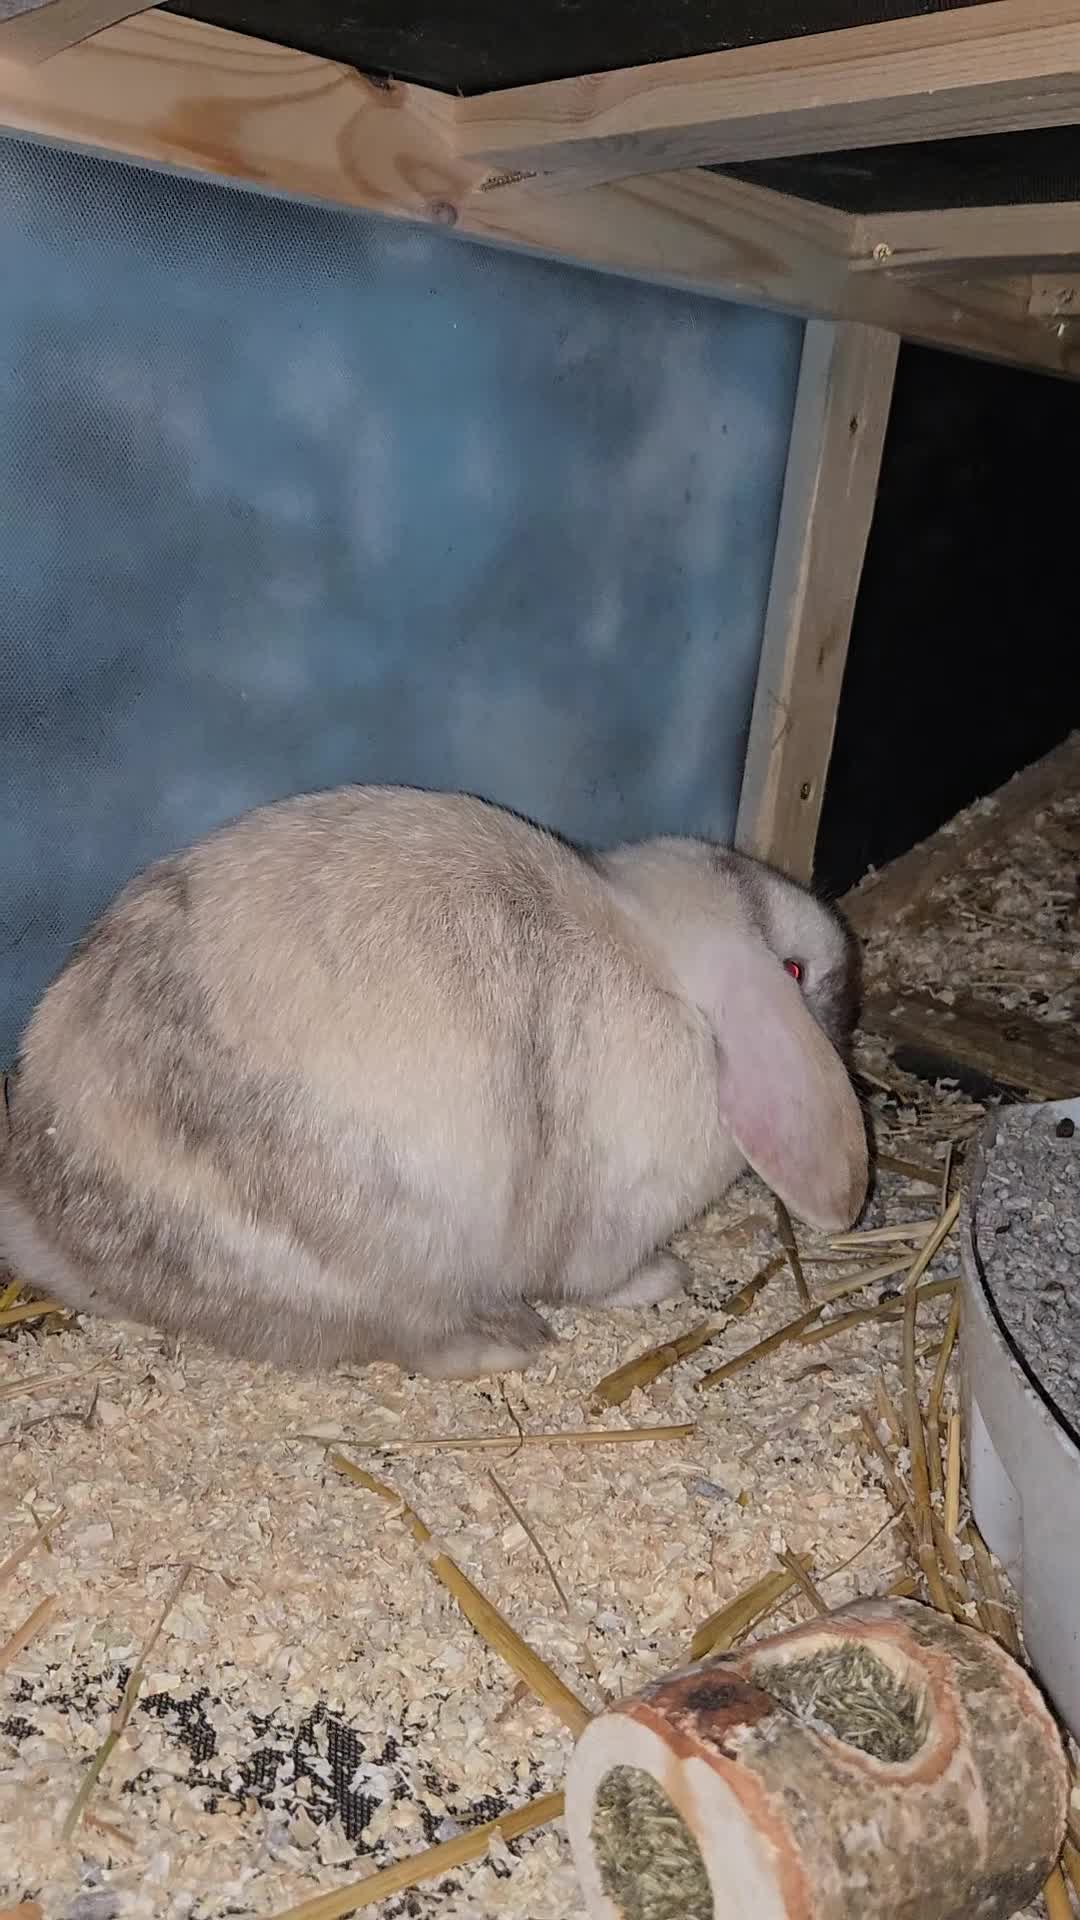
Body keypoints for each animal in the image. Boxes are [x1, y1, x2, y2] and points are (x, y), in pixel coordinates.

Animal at [0, 786, 867, 1380]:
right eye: (795, 972)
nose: (847, 984)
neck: (664, 962)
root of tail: (55, 1223)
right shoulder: (612, 1221)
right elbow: (598, 1274)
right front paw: (667, 1279)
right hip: (393, 1256)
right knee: (394, 1338)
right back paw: (505, 1346)